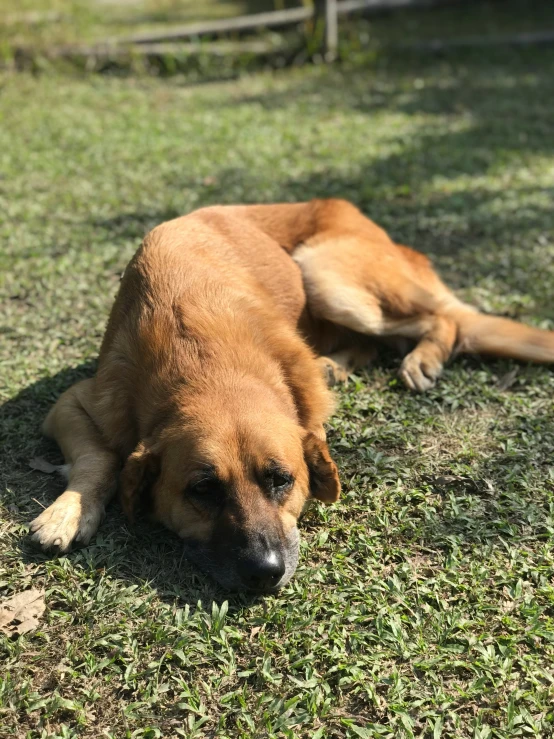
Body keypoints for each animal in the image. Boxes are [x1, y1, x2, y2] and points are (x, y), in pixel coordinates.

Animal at [29, 199, 552, 592]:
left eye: (281, 479)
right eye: (203, 490)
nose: (265, 572)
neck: (201, 355)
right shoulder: (74, 404)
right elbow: (99, 456)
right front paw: (70, 510)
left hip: (326, 276)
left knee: (442, 320)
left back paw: (421, 358)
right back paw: (336, 363)